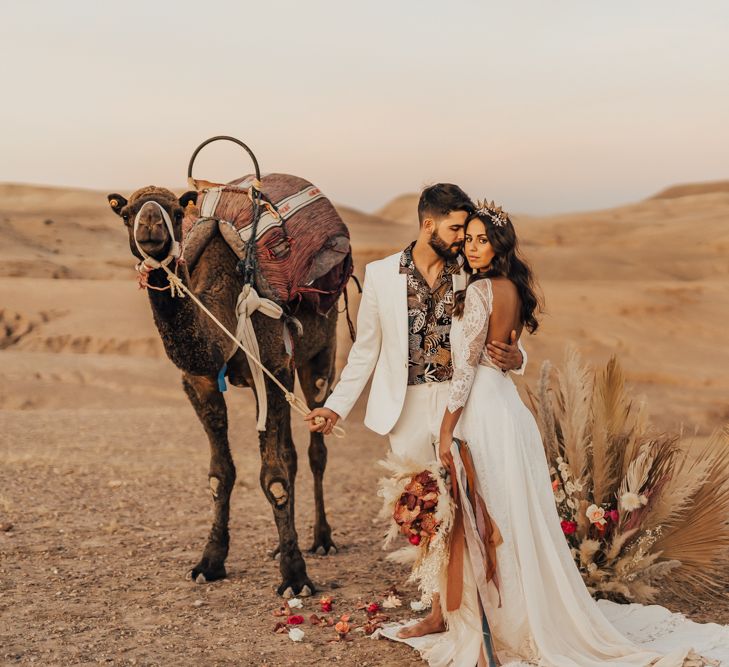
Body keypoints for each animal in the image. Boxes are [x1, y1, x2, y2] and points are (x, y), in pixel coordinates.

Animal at [107, 185, 338, 596]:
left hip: (320, 355)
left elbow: (273, 477)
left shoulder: (273, 365)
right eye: (126, 213)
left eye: (175, 212)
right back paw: (280, 546)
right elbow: (220, 474)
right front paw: (210, 562)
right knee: (292, 453)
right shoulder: (199, 381)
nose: (150, 223)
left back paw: (322, 539)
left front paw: (296, 578)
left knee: (316, 450)